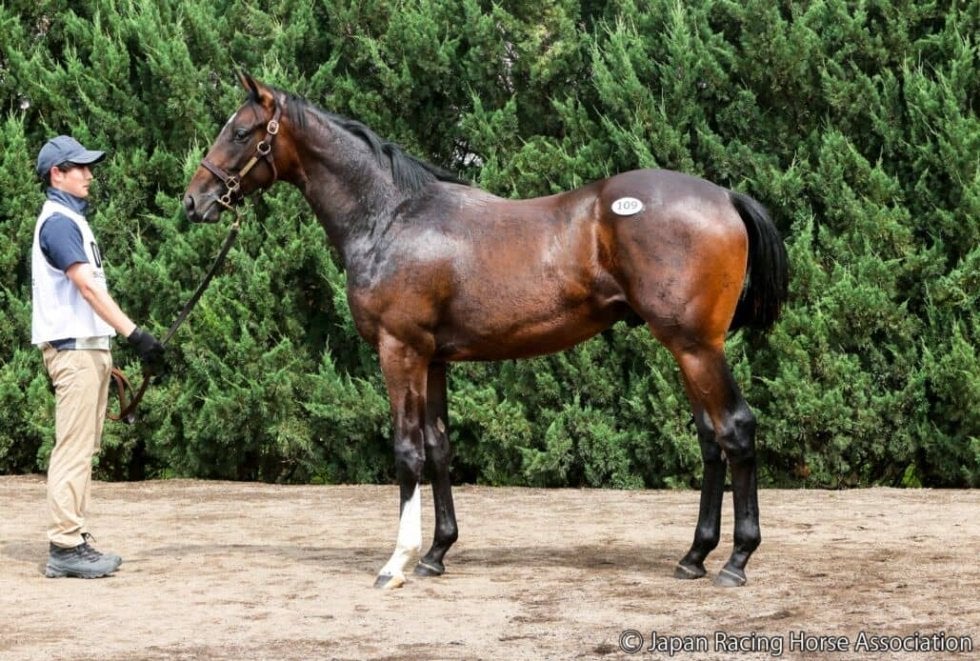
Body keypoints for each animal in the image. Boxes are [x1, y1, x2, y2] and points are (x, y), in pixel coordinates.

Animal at [183, 72, 789, 590]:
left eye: (240, 132)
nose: (194, 201)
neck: (392, 216)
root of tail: (725, 196)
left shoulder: (399, 350)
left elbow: (407, 450)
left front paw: (397, 562)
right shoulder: (433, 359)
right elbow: (438, 447)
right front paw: (436, 553)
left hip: (696, 347)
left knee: (735, 430)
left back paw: (736, 561)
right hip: (688, 350)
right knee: (710, 440)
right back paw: (694, 557)